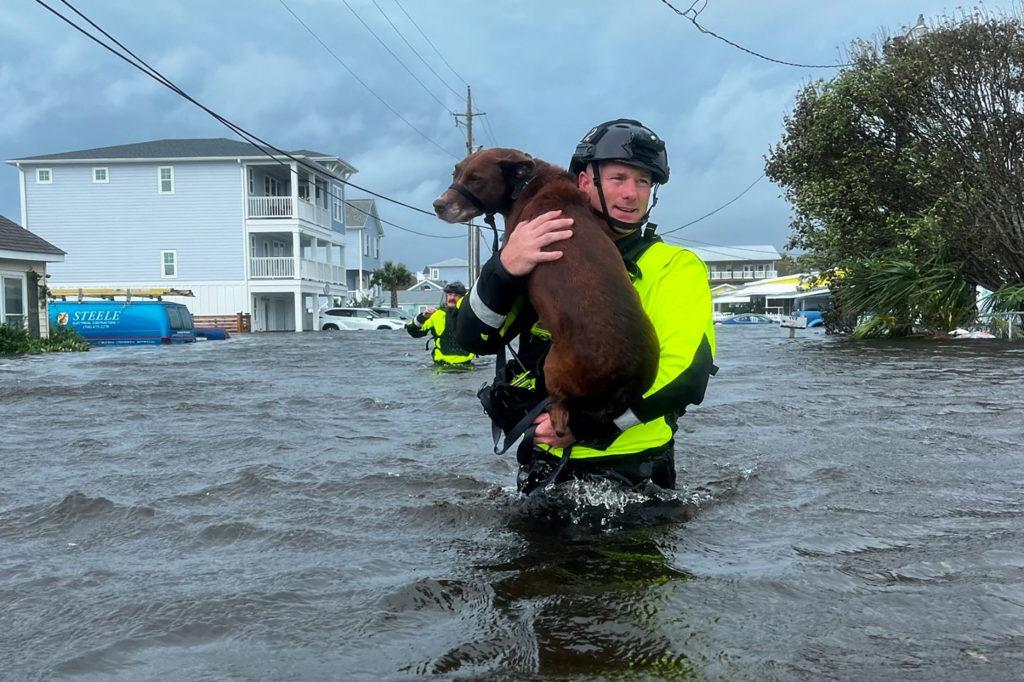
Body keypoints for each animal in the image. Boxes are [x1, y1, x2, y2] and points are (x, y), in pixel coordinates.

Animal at [430, 146, 655, 438]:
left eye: (476, 179)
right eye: (455, 173)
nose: (438, 205)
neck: (529, 182)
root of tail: (621, 384)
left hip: (552, 368)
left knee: (559, 415)